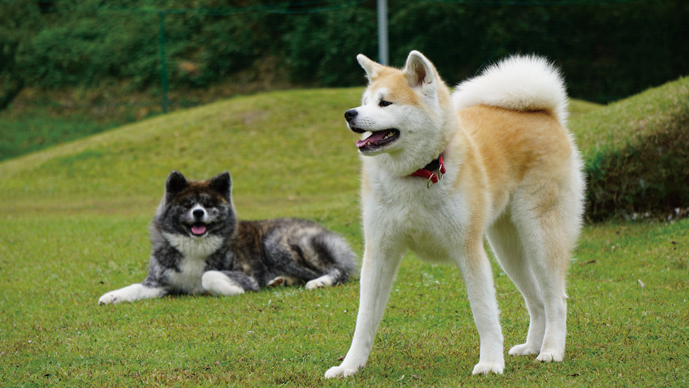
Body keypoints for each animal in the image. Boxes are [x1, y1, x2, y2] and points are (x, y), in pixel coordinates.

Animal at [99, 171, 358, 304]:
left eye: (209, 204)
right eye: (187, 204)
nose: (198, 213)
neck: (195, 248)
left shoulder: (246, 276)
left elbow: (209, 276)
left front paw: (233, 290)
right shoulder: (159, 284)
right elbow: (134, 288)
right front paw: (111, 295)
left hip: (278, 245)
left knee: (338, 270)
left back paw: (318, 282)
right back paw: (281, 281)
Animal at [326, 50, 584, 378]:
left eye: (385, 103)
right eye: (365, 101)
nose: (350, 114)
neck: (417, 174)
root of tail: (545, 114)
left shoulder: (468, 250)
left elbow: (484, 313)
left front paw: (490, 363)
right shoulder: (379, 251)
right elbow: (364, 319)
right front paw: (348, 366)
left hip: (540, 236)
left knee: (556, 300)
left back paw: (551, 350)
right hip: (507, 250)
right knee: (536, 301)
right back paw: (531, 347)